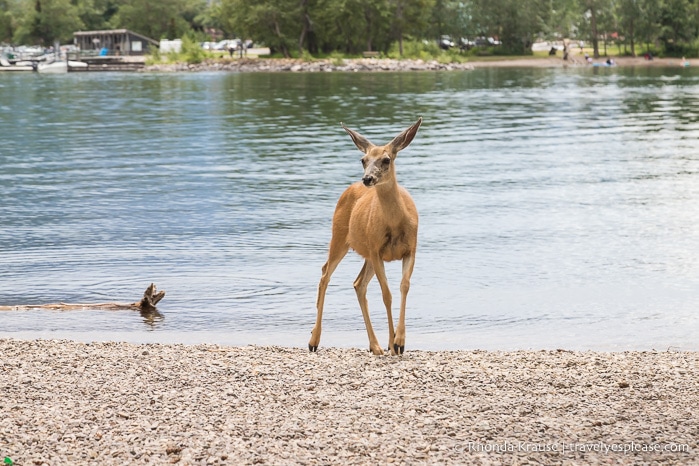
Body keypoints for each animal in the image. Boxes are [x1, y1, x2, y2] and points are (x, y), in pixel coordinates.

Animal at [310, 118, 422, 354]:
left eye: (386, 159)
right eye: (363, 159)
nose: (367, 178)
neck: (395, 224)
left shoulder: (411, 249)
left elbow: (404, 286)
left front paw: (399, 342)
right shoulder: (377, 251)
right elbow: (387, 294)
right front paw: (394, 344)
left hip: (367, 254)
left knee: (358, 283)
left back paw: (375, 346)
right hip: (340, 236)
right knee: (325, 274)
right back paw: (313, 341)